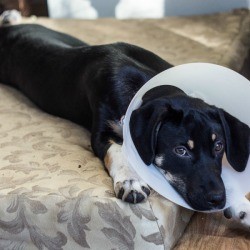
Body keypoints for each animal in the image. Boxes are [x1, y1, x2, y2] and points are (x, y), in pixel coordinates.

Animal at [0, 21, 249, 215]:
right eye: (181, 151)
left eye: (219, 146)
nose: (217, 199)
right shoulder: (102, 133)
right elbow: (118, 151)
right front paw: (131, 181)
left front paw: (241, 206)